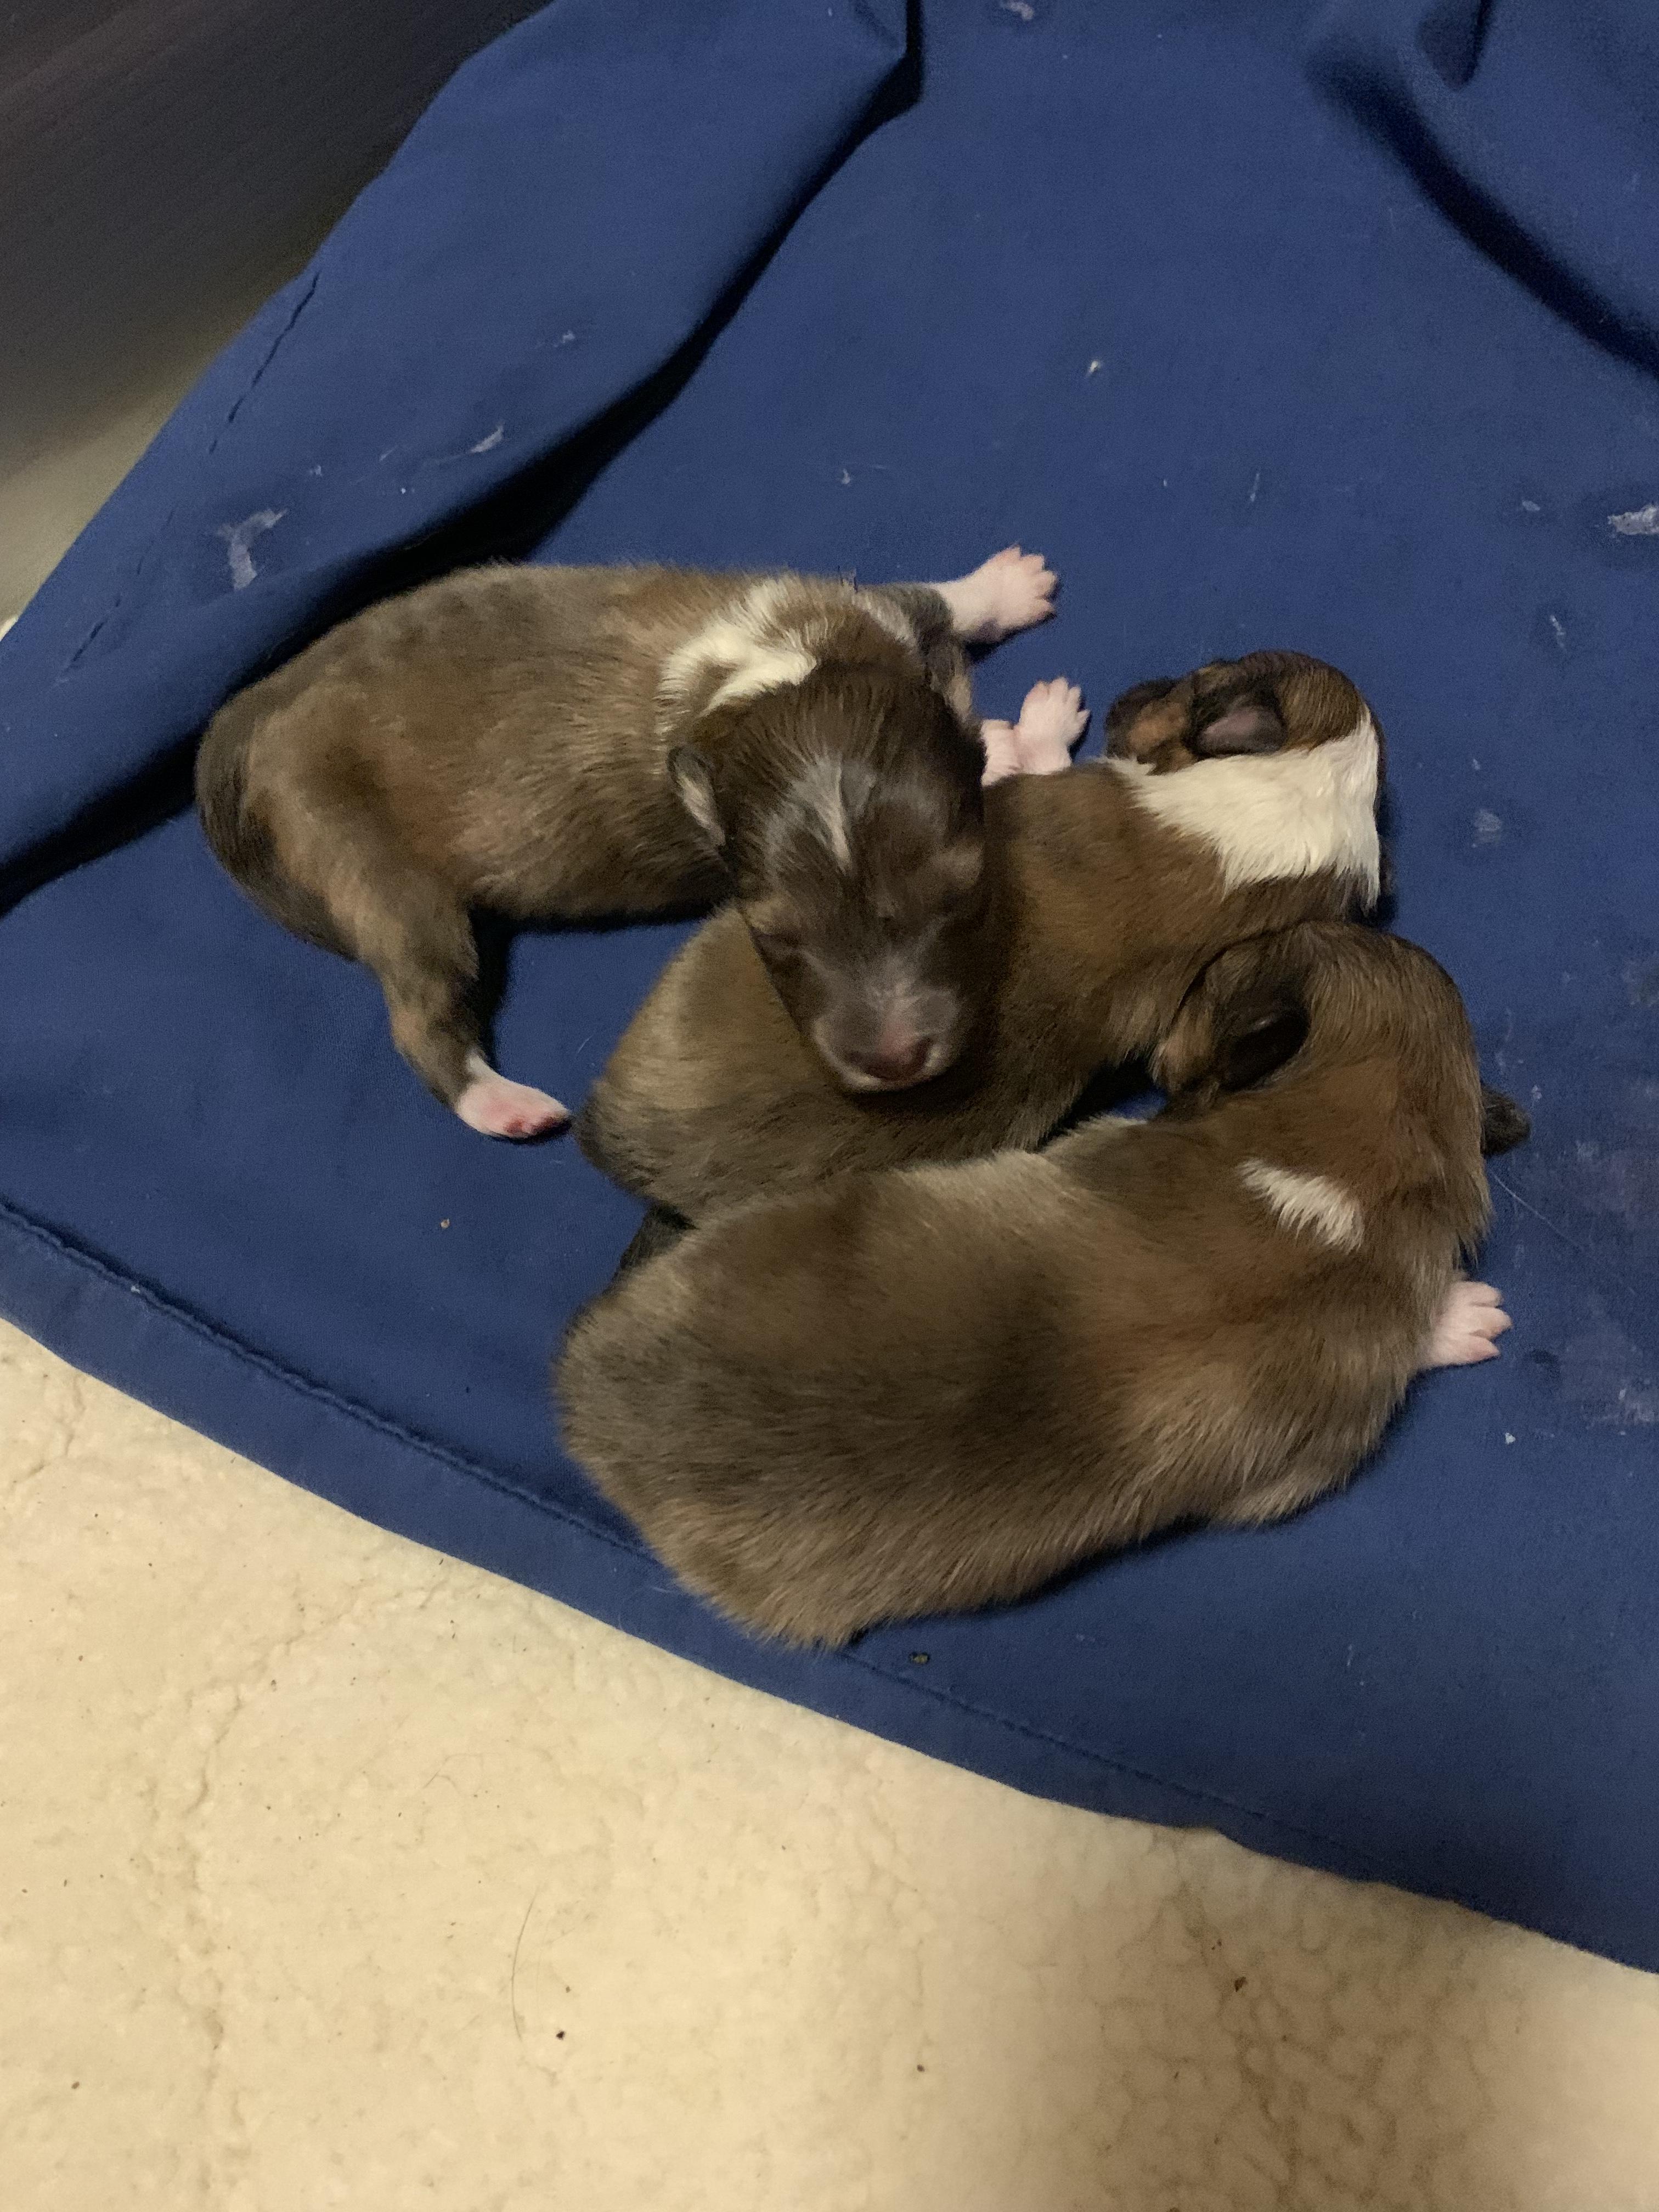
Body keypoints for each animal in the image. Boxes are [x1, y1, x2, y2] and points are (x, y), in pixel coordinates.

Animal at [195, 547, 1080, 1137]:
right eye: (772, 938)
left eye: (962, 897)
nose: (894, 1062)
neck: (780, 676)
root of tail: (264, 715)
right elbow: (1009, 769)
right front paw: (1035, 729)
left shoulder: (870, 616)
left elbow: (932, 601)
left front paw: (1003, 587)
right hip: (375, 869)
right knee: (420, 1015)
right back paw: (503, 1104)